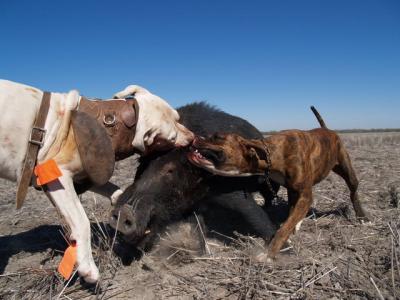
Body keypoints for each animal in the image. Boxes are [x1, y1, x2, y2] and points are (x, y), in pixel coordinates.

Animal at [188, 106, 368, 258]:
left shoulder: (305, 195)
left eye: (217, 136)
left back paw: (362, 216)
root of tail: (327, 130)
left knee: (353, 192)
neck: (272, 153)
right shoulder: (292, 190)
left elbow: (284, 228)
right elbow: (290, 214)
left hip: (347, 170)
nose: (196, 137)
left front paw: (270, 253)